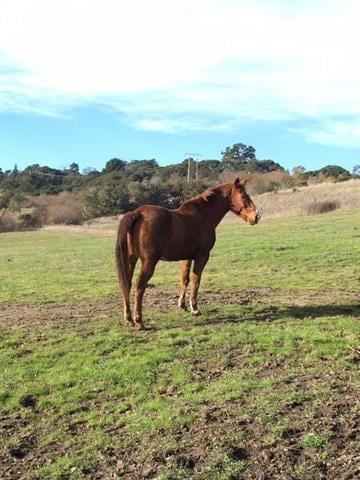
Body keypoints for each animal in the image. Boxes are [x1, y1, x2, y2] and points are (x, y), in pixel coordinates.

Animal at [116, 177, 260, 330]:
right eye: (244, 196)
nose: (256, 216)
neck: (203, 214)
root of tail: (138, 213)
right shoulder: (202, 256)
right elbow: (196, 280)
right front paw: (194, 308)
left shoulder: (186, 258)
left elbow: (185, 279)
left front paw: (182, 305)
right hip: (149, 262)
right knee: (139, 287)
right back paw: (139, 321)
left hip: (131, 260)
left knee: (126, 285)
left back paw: (129, 319)